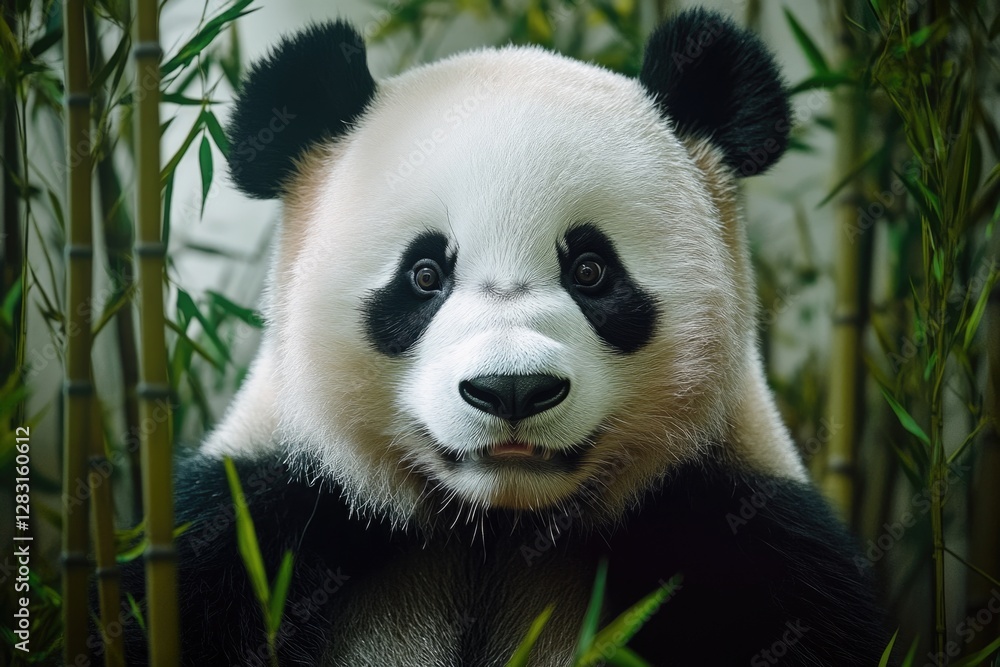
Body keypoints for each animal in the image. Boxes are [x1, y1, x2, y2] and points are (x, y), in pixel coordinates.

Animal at [116, 8, 886, 666]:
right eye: (425, 273)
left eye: (591, 270)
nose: (512, 389)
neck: (495, 529)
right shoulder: (252, 521)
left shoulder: (746, 534)